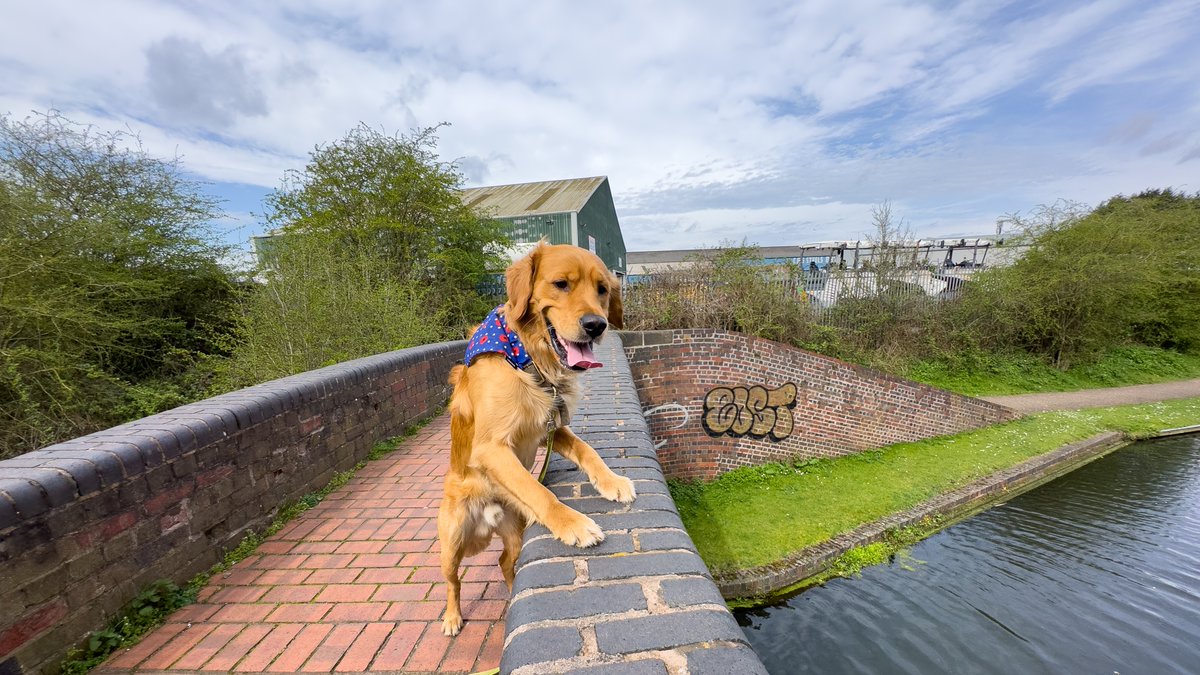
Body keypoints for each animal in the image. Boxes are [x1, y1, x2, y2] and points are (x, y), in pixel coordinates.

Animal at [434, 240, 638, 629]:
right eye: (561, 284)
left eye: (602, 289)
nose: (596, 325)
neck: (526, 358)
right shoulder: (491, 448)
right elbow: (539, 491)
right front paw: (574, 523)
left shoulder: (549, 428)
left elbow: (587, 450)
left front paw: (612, 481)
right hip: (451, 540)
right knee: (452, 581)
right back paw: (451, 618)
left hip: (514, 531)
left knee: (504, 562)